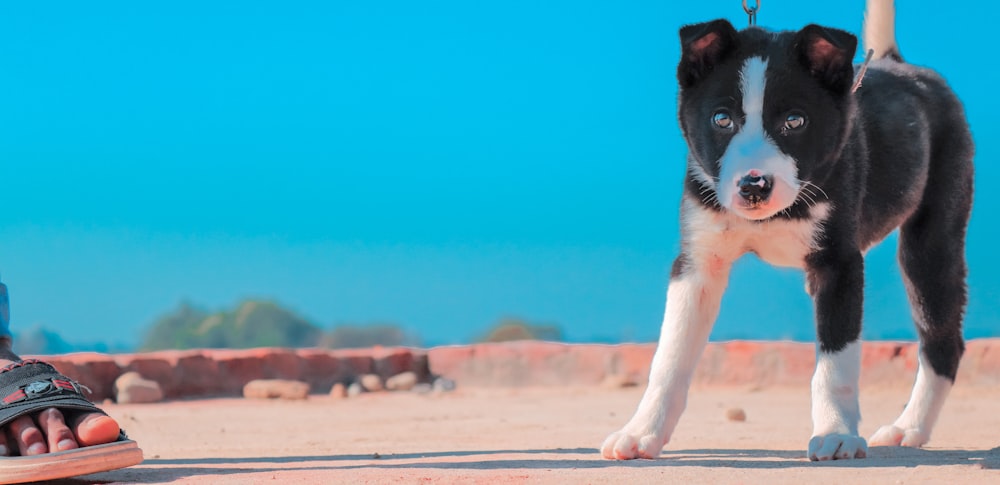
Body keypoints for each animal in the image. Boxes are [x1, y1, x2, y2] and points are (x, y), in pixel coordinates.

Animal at [600, 0, 968, 462]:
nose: (753, 185)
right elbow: (669, 358)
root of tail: (897, 65)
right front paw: (642, 431)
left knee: (942, 339)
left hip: (931, 242)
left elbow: (835, 361)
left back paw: (909, 428)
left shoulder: (839, 264)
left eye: (795, 121)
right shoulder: (697, 265)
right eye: (721, 119)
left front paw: (836, 433)